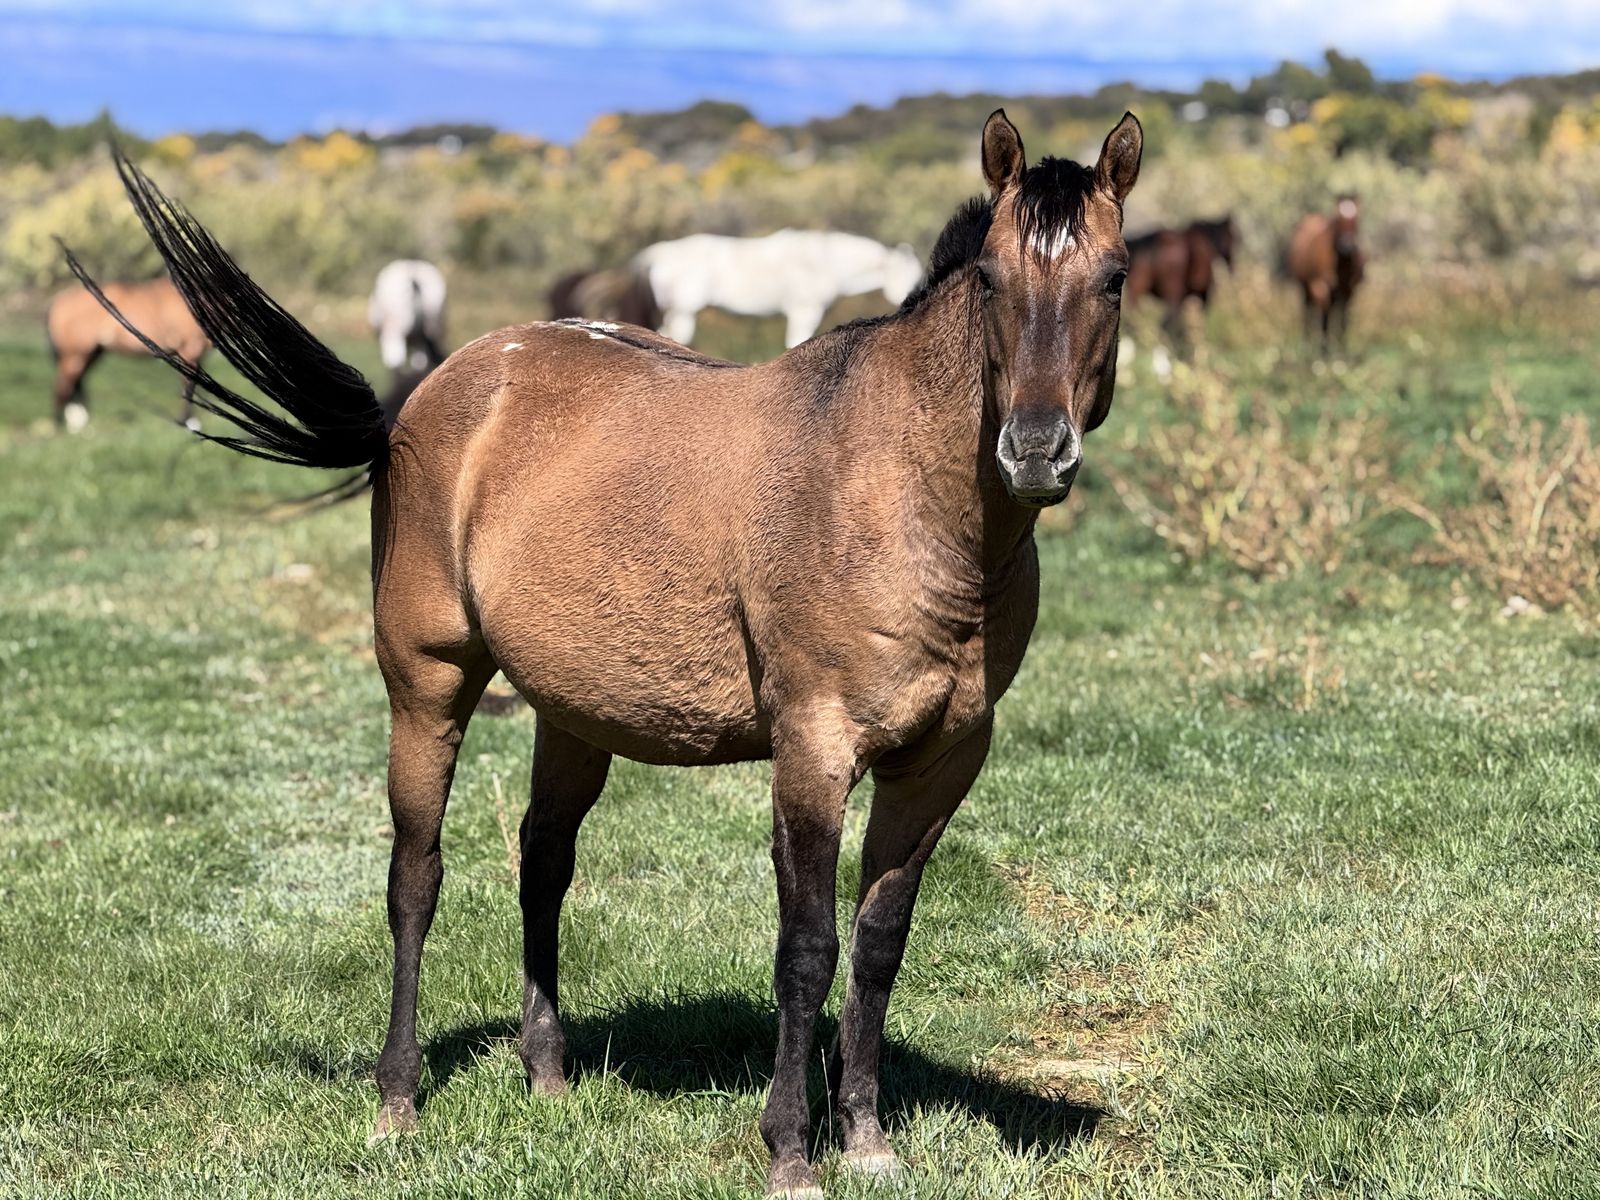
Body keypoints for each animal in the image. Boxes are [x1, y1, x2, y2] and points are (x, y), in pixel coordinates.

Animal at [45, 277, 209, 432]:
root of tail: (59, 301)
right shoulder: (190, 348)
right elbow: (189, 386)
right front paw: (190, 423)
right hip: (74, 355)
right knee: (63, 387)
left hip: (90, 354)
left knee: (76, 384)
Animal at [1284, 197, 1364, 353]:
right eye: (1338, 220)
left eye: (1356, 219)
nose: (1346, 246)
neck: (1340, 262)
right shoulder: (1321, 287)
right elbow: (1325, 316)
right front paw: (1324, 350)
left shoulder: (1348, 291)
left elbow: (1344, 318)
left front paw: (1341, 348)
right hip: (1306, 287)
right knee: (1307, 311)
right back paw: (1307, 343)